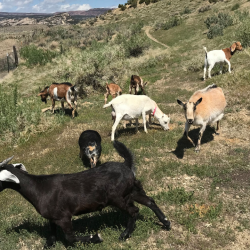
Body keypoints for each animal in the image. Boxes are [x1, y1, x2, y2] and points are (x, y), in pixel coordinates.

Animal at [0, 141, 171, 248]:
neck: (39, 188)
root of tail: (126, 165)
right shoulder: (53, 217)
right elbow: (52, 232)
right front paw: (48, 244)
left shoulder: (63, 217)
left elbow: (70, 237)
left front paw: (95, 238)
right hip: (131, 191)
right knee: (149, 201)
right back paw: (166, 222)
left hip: (117, 198)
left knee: (134, 211)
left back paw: (125, 234)